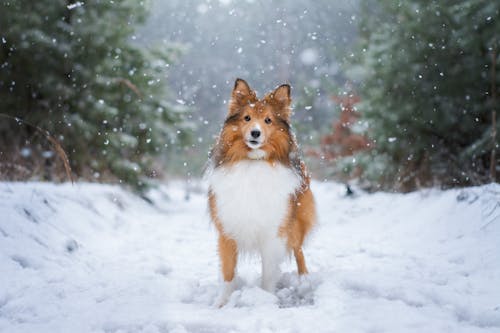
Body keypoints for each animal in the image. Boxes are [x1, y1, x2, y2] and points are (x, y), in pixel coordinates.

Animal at [207, 78, 316, 306]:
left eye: (268, 120)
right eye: (247, 118)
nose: (255, 133)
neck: (253, 161)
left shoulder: (274, 231)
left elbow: (268, 272)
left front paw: (267, 299)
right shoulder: (227, 229)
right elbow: (228, 272)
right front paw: (222, 303)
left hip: (296, 221)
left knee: (299, 251)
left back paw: (304, 281)